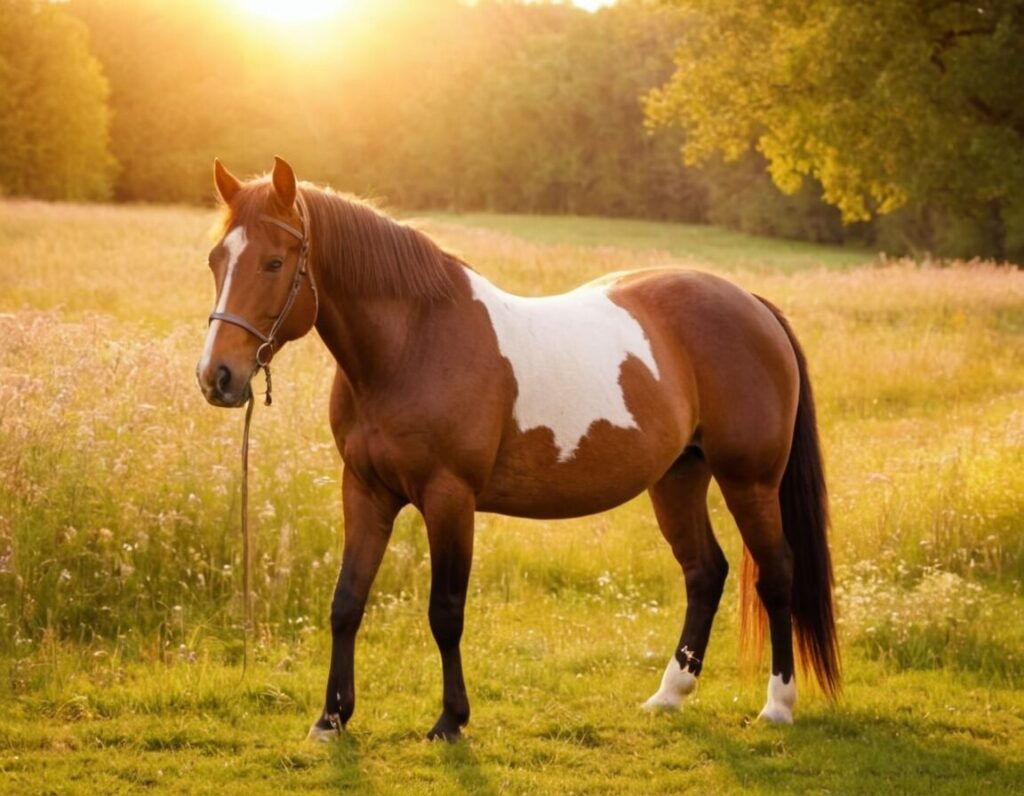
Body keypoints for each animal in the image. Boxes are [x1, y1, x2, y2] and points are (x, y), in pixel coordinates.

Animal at [195, 158, 835, 741]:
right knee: (704, 572)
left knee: (776, 573)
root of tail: (751, 304)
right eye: (216, 260)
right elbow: (347, 601)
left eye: (275, 262)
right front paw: (331, 718)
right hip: (678, 477)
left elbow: (445, 611)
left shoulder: (449, 498)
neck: (413, 344)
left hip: (749, 480)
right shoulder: (366, 491)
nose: (216, 376)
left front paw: (450, 721)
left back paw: (778, 705)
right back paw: (669, 695)